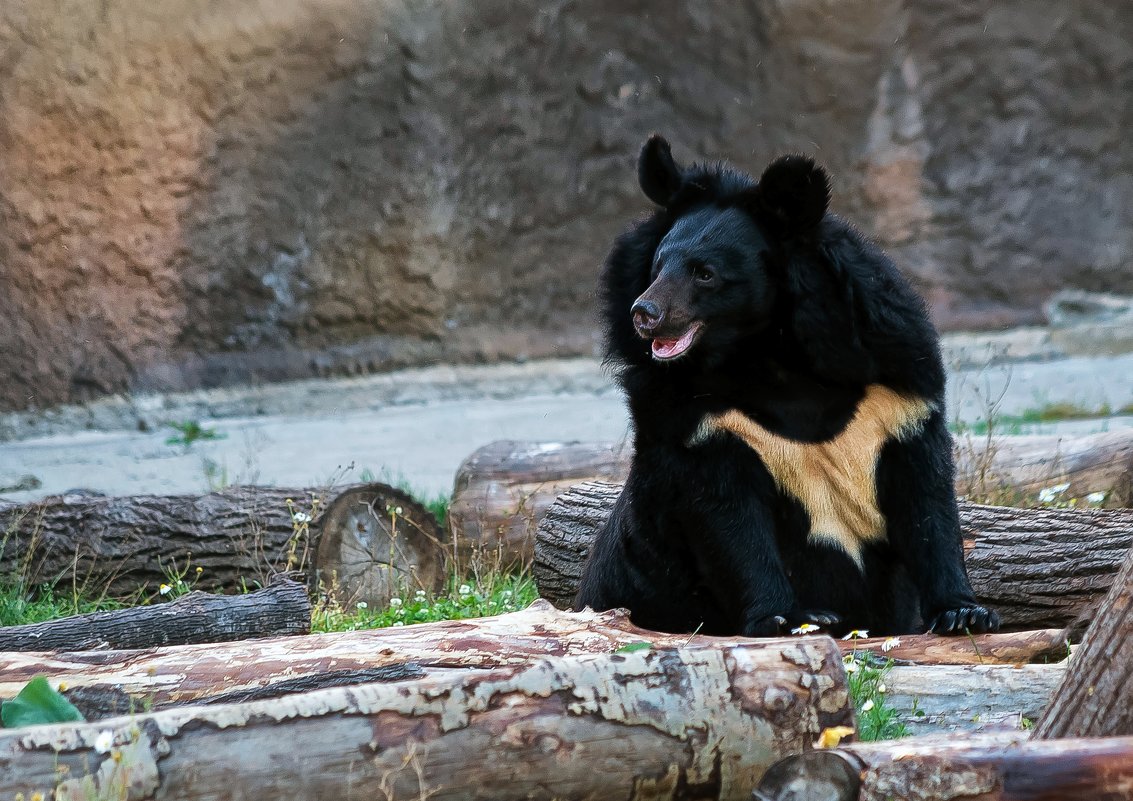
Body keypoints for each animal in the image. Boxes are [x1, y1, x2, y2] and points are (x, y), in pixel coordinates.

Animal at [575, 136, 1001, 638]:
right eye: (658, 266)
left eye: (705, 273)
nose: (645, 314)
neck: (767, 354)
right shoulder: (694, 419)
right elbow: (730, 519)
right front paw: (791, 617)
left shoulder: (895, 388)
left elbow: (926, 500)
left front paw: (963, 612)